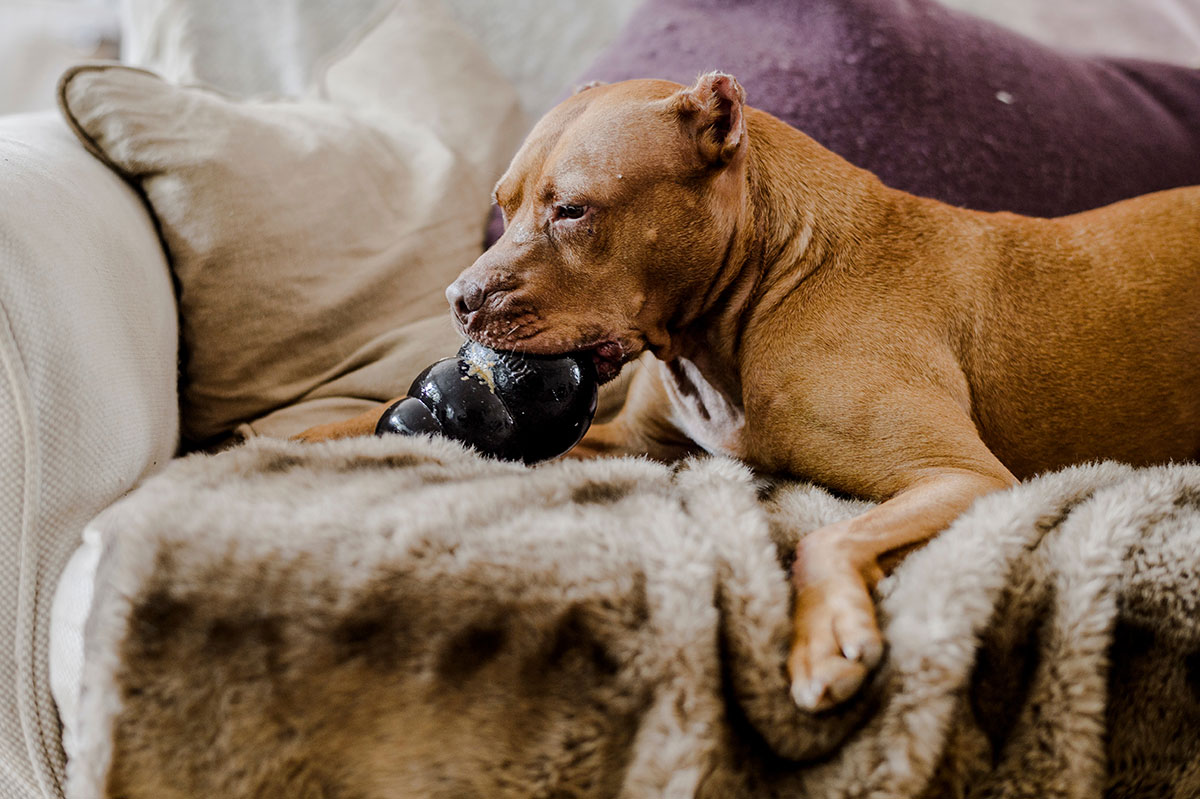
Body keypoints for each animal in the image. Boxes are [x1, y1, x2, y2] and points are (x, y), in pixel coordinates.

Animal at [297, 73, 1200, 710]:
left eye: (574, 210)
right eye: (503, 204)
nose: (459, 297)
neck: (757, 291)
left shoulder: (963, 478)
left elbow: (825, 537)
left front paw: (825, 637)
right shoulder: (639, 443)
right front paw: (312, 432)